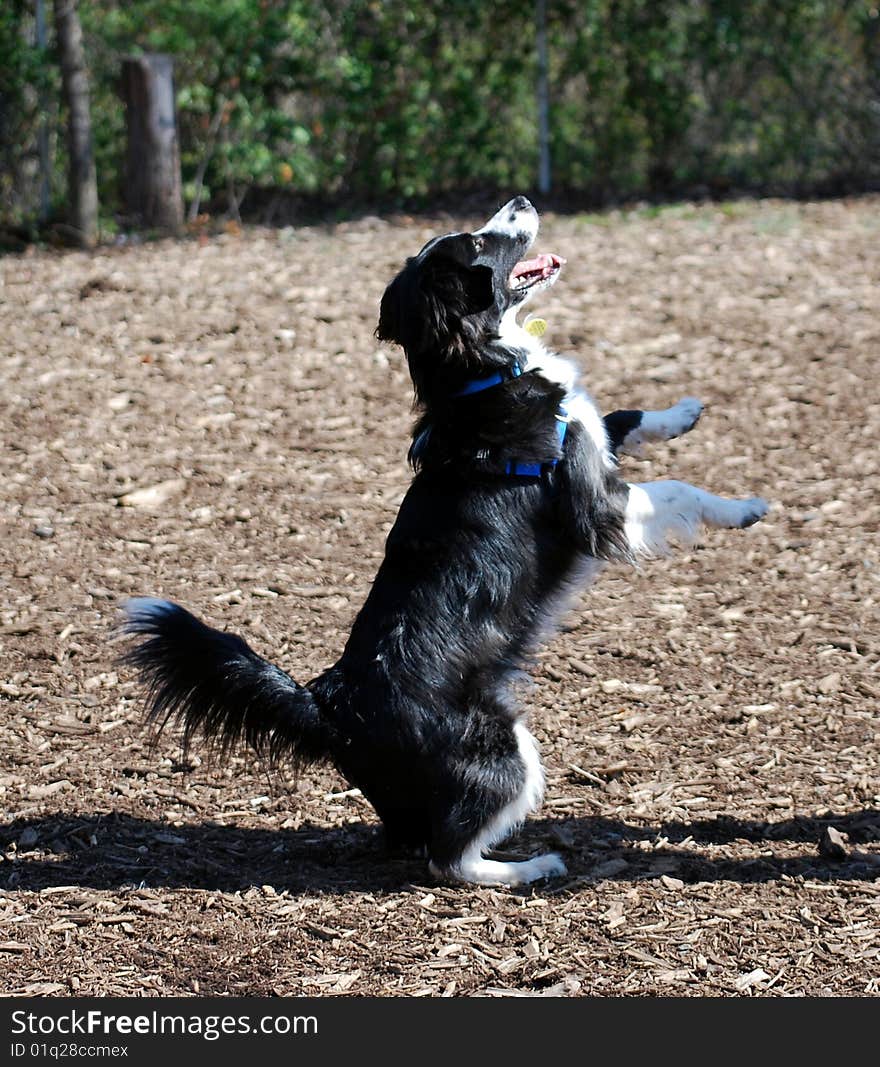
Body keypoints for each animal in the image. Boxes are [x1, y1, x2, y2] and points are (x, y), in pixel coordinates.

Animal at [120, 196, 763, 887]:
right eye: (479, 242)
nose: (522, 201)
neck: (480, 372)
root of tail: (329, 705)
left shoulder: (595, 438)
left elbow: (627, 418)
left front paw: (684, 411)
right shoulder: (600, 506)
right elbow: (678, 491)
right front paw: (745, 508)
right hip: (504, 748)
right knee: (449, 859)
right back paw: (533, 867)